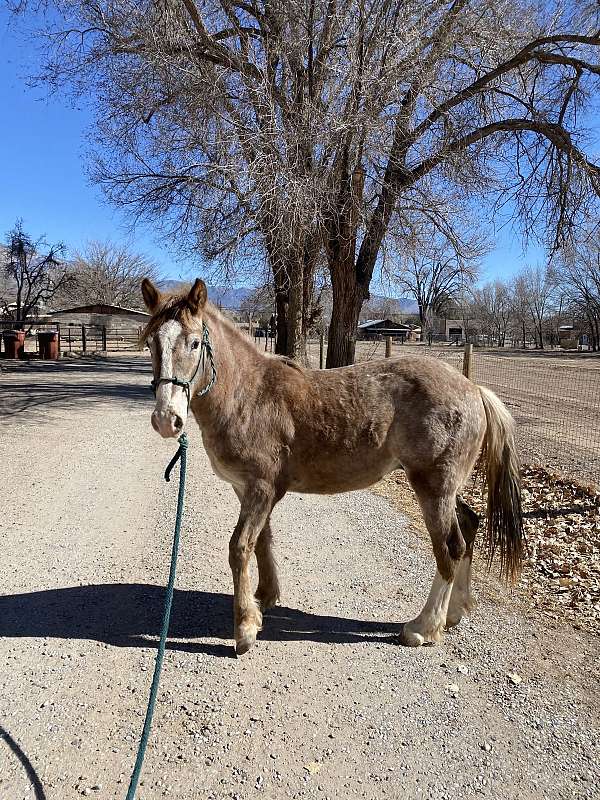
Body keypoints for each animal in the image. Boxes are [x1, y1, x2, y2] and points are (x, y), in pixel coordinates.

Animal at [143, 278, 524, 652]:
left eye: (194, 343)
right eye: (151, 343)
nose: (166, 420)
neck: (249, 397)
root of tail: (473, 389)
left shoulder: (260, 489)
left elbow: (239, 549)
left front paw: (246, 628)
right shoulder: (247, 489)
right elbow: (262, 541)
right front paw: (264, 599)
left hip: (432, 486)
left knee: (450, 547)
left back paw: (424, 627)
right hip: (445, 486)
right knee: (470, 526)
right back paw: (454, 612)